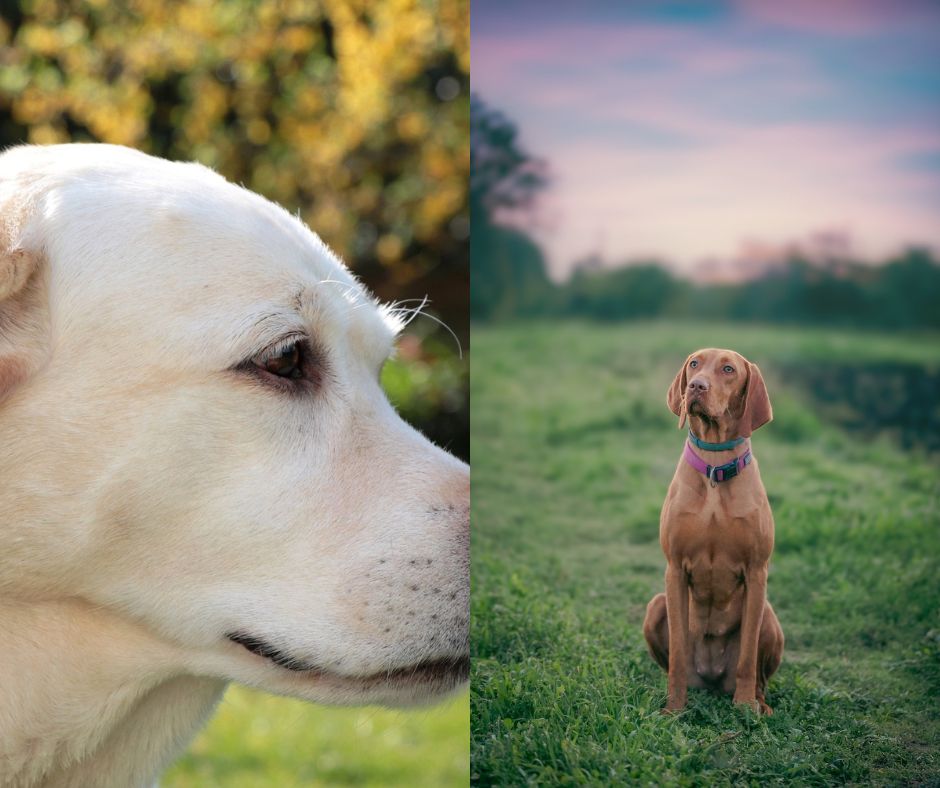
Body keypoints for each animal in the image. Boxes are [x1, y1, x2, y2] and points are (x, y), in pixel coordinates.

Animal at [644, 348, 784, 716]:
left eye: (729, 369)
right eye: (694, 363)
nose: (696, 385)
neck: (714, 467)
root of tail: (711, 679)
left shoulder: (757, 571)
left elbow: (748, 655)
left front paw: (745, 707)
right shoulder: (675, 570)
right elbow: (678, 655)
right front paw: (673, 708)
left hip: (768, 615)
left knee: (759, 674)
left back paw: (758, 702)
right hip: (655, 606)